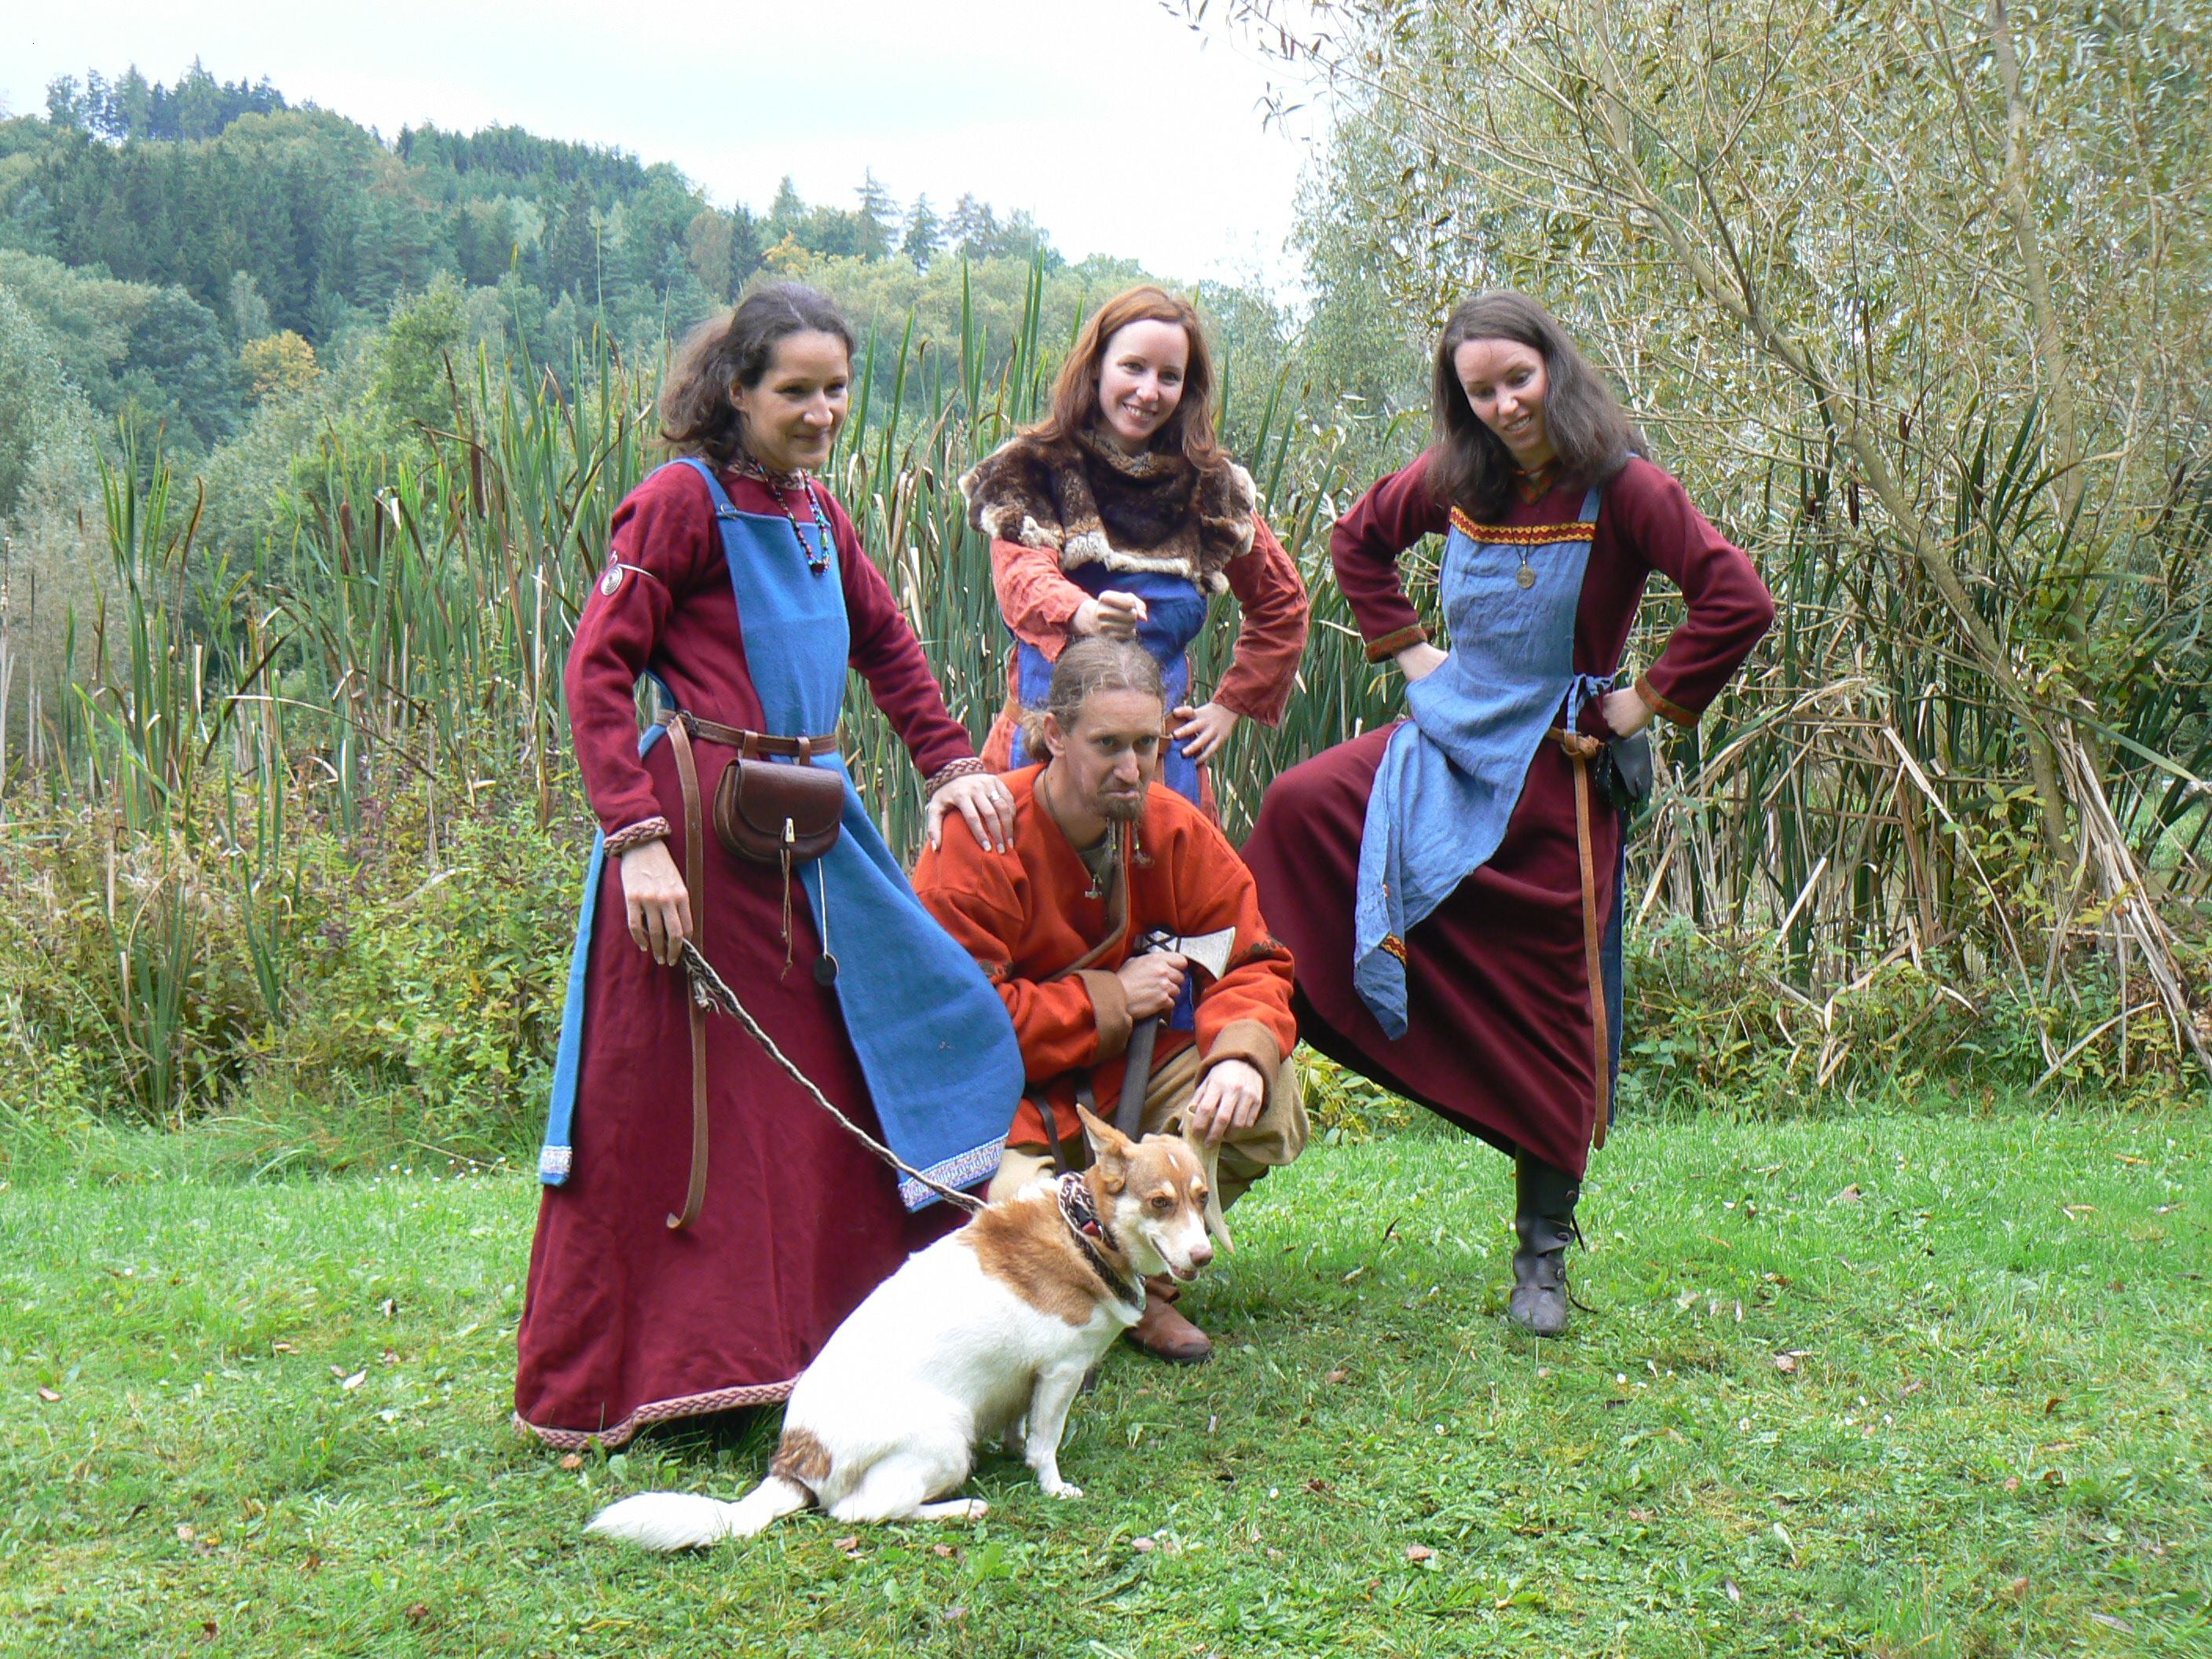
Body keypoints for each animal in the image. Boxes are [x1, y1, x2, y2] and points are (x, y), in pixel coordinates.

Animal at [585, 1107, 1214, 1549]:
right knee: (860, 1512)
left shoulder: (1027, 1381)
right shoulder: (1060, 1373)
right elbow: (1045, 1444)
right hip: (948, 1437)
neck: (1087, 1230)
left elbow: (1022, 1429)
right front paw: (1053, 1485)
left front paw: (1017, 1452)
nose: (1205, 1256)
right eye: (1160, 1203)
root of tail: (798, 1457)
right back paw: (960, 1508)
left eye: (1202, 1197)